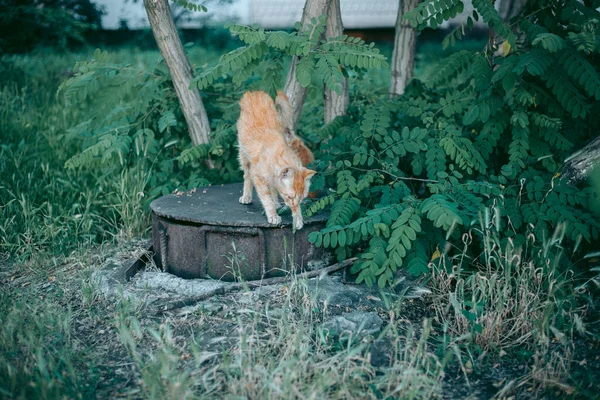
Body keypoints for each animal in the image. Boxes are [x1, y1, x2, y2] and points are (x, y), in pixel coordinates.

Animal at [237, 90, 316, 228]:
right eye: (289, 197)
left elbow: (274, 191)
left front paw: (297, 218)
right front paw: (273, 215)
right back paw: (246, 196)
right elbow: (266, 199)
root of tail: (255, 93)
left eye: (301, 198)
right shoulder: (258, 176)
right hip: (243, 155)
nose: (292, 205)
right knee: (246, 176)